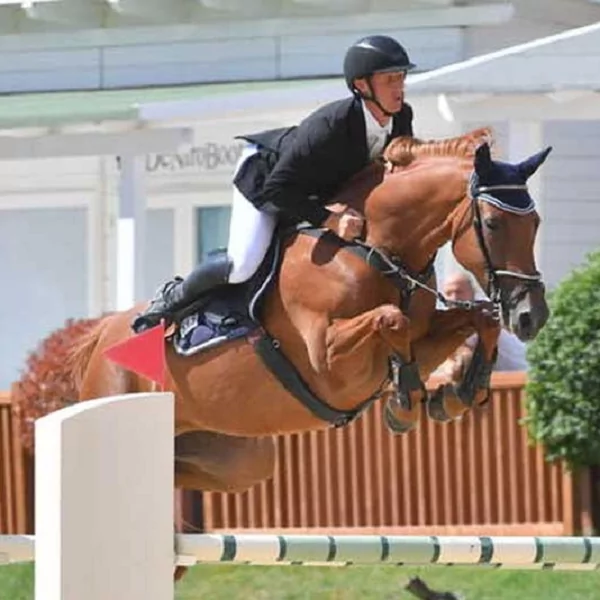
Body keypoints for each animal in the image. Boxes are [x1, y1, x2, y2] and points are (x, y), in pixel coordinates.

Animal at [69, 130, 548, 496]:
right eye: (493, 224)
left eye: (536, 223)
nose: (533, 316)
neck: (372, 251)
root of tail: (103, 335)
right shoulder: (328, 362)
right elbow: (391, 318)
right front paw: (405, 403)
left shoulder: (420, 341)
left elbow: (478, 320)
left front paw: (458, 393)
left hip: (239, 459)